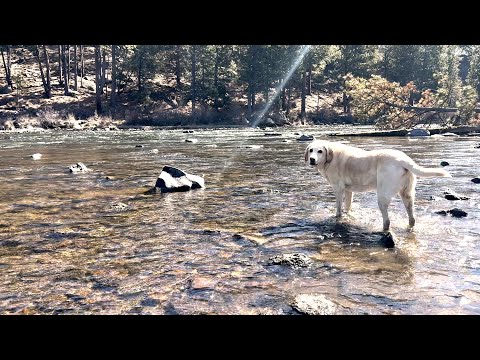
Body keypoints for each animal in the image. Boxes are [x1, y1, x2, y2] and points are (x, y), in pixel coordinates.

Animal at [306, 139, 452, 232]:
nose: (311, 159)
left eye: (320, 151)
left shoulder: (338, 188)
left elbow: (338, 208)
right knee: (412, 218)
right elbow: (348, 206)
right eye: (311, 150)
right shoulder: (348, 191)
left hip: (382, 196)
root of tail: (404, 160)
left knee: (387, 221)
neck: (330, 159)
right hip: (407, 194)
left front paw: (337, 217)